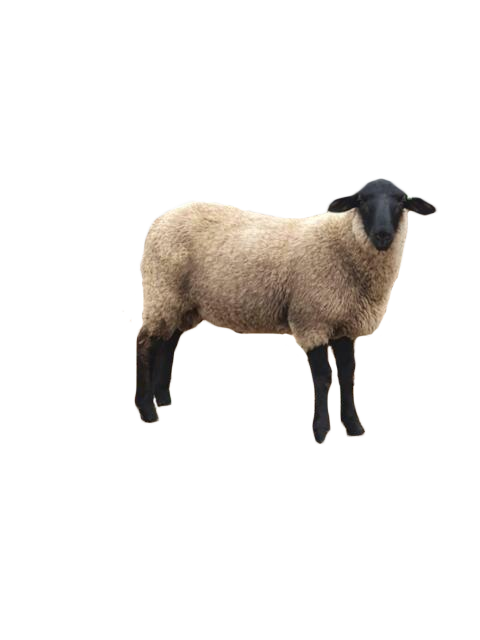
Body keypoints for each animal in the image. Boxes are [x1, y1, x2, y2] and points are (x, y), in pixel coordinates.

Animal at [134, 179, 438, 443]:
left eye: (401, 201)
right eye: (362, 200)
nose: (382, 235)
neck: (344, 246)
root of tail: (162, 220)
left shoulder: (343, 324)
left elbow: (347, 374)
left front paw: (354, 426)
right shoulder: (312, 320)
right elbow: (323, 377)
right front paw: (321, 431)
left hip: (182, 303)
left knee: (168, 343)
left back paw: (164, 398)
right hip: (163, 292)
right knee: (145, 344)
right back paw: (148, 410)